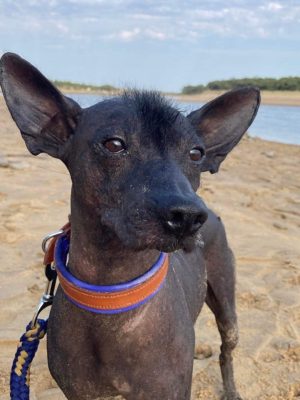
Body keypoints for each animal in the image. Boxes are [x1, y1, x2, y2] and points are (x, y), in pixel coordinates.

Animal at [0, 52, 260, 396]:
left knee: (226, 351)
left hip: (228, 310)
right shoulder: (81, 393)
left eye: (196, 153)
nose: (189, 215)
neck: (112, 296)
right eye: (114, 144)